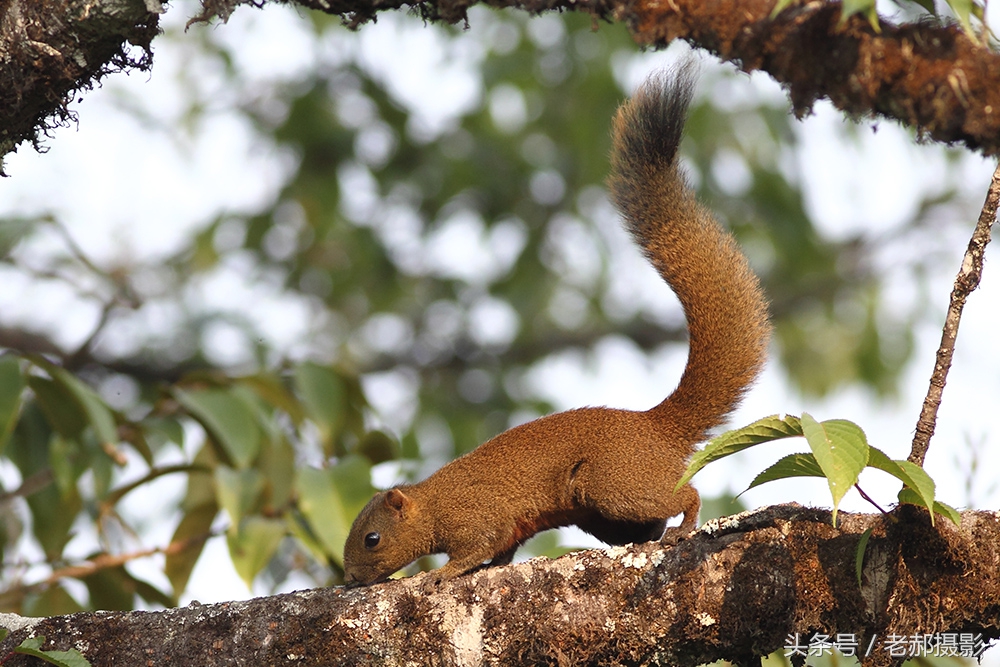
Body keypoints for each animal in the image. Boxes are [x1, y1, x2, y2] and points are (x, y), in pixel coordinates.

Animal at [340, 62, 768, 584]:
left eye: (372, 538)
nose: (350, 579)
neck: (435, 502)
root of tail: (659, 427)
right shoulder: (507, 529)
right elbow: (501, 552)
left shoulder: (477, 517)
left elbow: (475, 548)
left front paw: (441, 573)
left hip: (613, 485)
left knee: (683, 495)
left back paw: (685, 526)